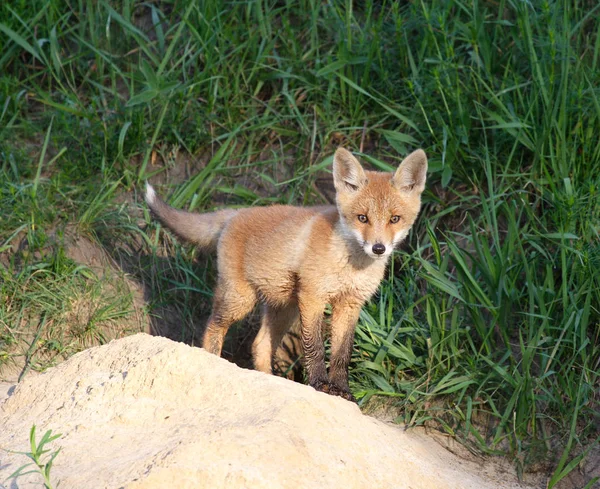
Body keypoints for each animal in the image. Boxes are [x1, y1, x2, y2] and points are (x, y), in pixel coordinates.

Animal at [145, 149, 426, 400]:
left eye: (394, 219)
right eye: (362, 218)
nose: (378, 248)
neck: (350, 264)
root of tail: (236, 213)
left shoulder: (350, 304)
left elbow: (342, 354)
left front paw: (342, 391)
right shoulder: (313, 297)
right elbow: (314, 348)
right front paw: (319, 384)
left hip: (284, 308)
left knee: (259, 344)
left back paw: (269, 380)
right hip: (241, 300)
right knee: (213, 327)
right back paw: (213, 360)